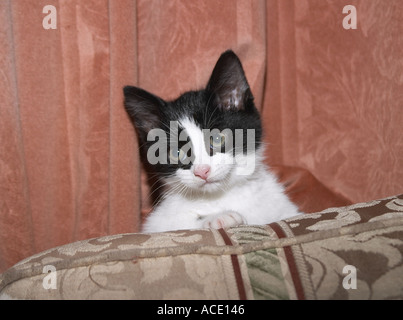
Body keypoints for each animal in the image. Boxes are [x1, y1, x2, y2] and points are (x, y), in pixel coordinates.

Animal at [124, 51, 302, 234]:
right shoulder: (157, 224)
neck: (221, 196)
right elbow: (177, 225)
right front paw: (219, 217)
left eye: (217, 138)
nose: (202, 171)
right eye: (176, 153)